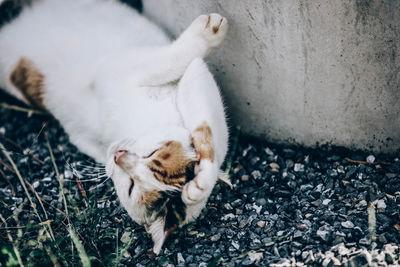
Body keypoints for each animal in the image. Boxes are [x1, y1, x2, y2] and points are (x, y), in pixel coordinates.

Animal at [0, 0, 228, 255]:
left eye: (130, 186)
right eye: (152, 153)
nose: (119, 155)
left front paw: (198, 187)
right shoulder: (124, 67)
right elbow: (173, 62)